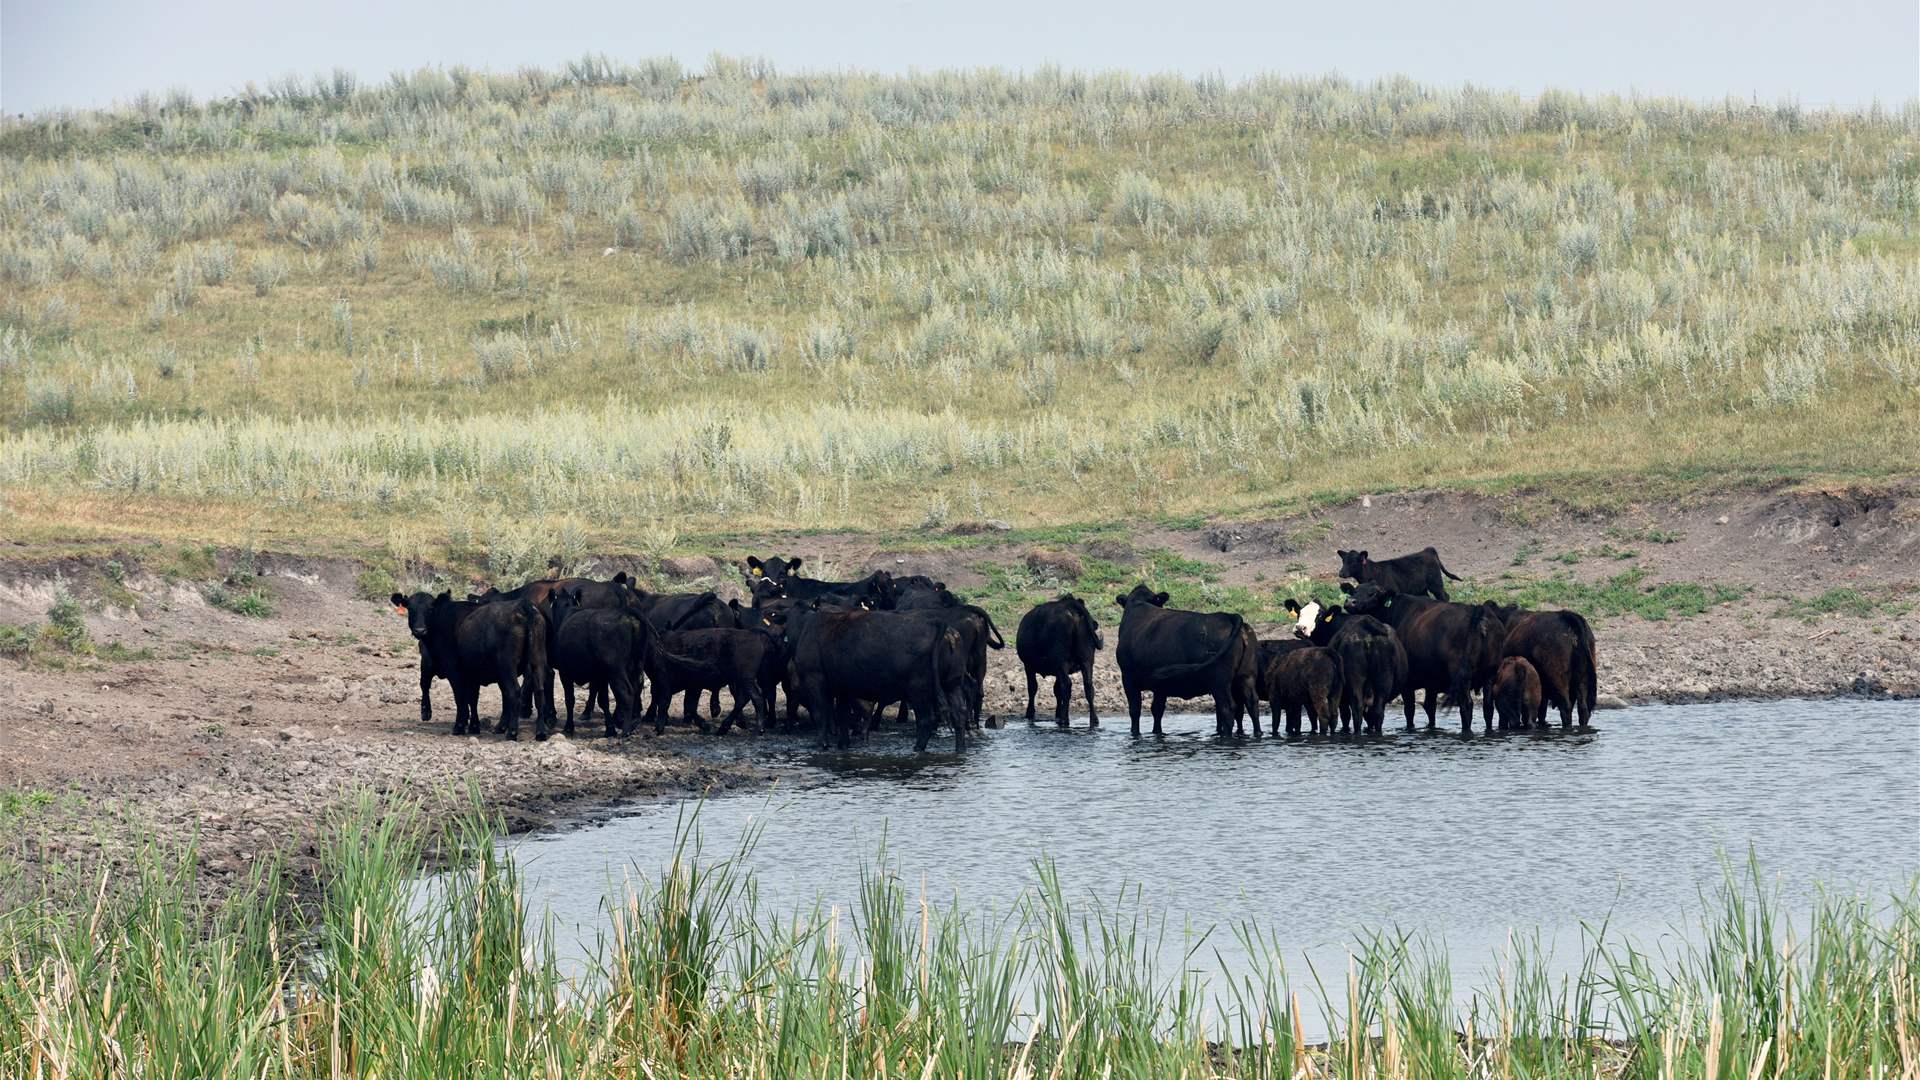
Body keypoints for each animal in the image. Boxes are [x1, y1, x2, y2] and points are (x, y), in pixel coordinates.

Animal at [392, 591, 551, 739]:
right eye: (410, 608)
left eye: (430, 609)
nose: (420, 630)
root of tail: (522, 605)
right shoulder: (472, 674)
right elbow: (472, 698)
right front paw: (474, 726)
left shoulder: (454, 671)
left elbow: (460, 697)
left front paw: (459, 726)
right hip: (537, 661)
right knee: (539, 691)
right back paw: (540, 732)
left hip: (507, 667)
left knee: (514, 692)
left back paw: (511, 732)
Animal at [548, 586, 655, 737]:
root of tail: (627, 614)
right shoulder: (600, 676)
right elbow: (603, 700)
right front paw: (610, 729)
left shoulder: (565, 673)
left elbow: (570, 699)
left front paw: (569, 727)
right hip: (637, 663)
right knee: (637, 687)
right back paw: (633, 722)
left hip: (616, 670)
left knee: (627, 692)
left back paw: (626, 729)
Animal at [1016, 594, 1103, 728]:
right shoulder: (1058, 670)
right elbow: (1056, 690)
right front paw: (1057, 714)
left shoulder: (1029, 666)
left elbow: (1033, 688)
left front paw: (1030, 713)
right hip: (1087, 661)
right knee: (1088, 686)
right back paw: (1093, 720)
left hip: (1061, 663)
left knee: (1067, 686)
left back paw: (1064, 719)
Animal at [1112, 584, 1259, 738]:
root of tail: (1228, 616)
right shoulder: (1161, 686)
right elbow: (1157, 710)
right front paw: (1157, 733)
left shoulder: (1128, 678)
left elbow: (1135, 710)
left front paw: (1135, 734)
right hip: (1246, 675)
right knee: (1252, 703)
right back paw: (1258, 733)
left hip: (1220, 681)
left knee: (1227, 708)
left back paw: (1227, 737)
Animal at [1342, 582, 1505, 734]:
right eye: (1354, 590)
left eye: (1374, 593)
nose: (1351, 602)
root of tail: (1479, 612)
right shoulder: (1431, 682)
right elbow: (1430, 708)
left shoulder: (1408, 684)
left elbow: (1409, 710)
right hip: (1490, 674)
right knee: (1488, 707)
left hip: (1462, 677)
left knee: (1466, 705)